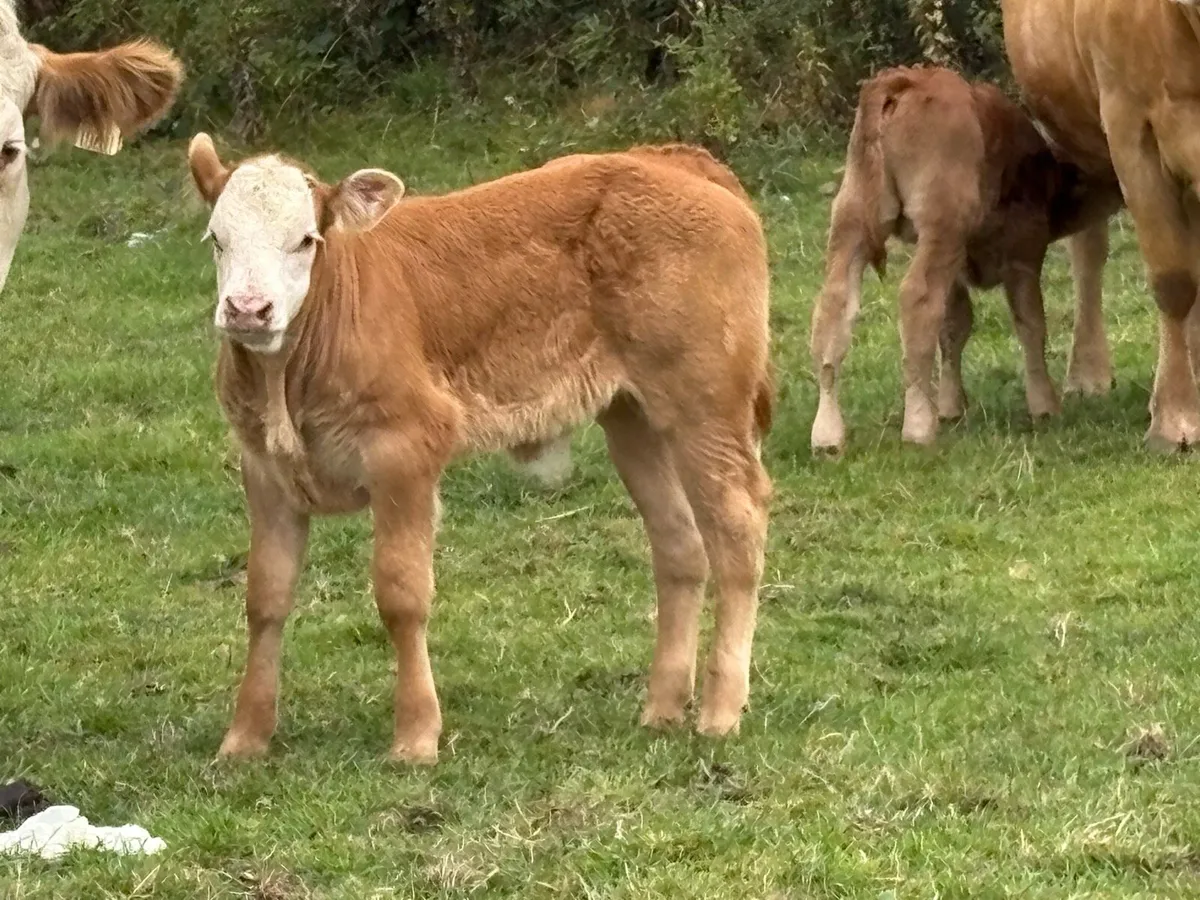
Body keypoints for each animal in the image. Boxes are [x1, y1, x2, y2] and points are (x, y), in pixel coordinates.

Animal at [186, 134, 774, 764]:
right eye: (216, 238)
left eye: (305, 240)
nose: (248, 309)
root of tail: (670, 158)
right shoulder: (264, 470)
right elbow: (265, 597)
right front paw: (245, 737)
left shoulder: (407, 452)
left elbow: (401, 593)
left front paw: (416, 736)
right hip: (633, 415)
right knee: (679, 545)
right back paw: (663, 707)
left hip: (706, 404)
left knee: (736, 527)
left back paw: (721, 709)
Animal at [809, 65, 1120, 452]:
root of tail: (901, 83)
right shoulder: (1024, 256)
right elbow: (1031, 324)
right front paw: (1044, 405)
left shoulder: (958, 268)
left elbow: (954, 327)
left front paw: (950, 407)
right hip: (940, 225)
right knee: (917, 299)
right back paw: (917, 426)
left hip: (851, 220)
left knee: (834, 306)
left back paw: (827, 434)